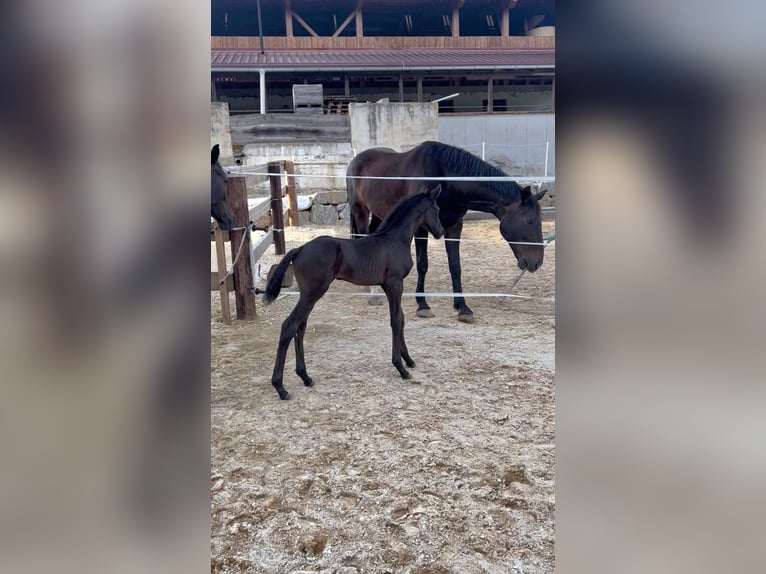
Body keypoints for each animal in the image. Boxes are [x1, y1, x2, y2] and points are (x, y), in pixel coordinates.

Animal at [262, 185, 445, 401]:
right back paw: (281, 388)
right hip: (312, 293)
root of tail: (300, 249)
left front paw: (408, 359)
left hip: (310, 295)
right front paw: (401, 368)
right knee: (289, 326)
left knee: (301, 326)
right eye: (437, 209)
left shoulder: (387, 286)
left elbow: (400, 319)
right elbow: (396, 321)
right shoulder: (395, 284)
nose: (440, 232)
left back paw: (305, 377)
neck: (395, 239)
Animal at [347, 141, 547, 323]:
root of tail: (356, 160)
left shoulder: (454, 227)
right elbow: (422, 264)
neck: (446, 178)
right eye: (529, 221)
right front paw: (423, 305)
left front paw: (463, 308)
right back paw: (372, 293)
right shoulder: (421, 227)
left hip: (379, 214)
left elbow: (455, 266)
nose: (536, 262)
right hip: (360, 211)